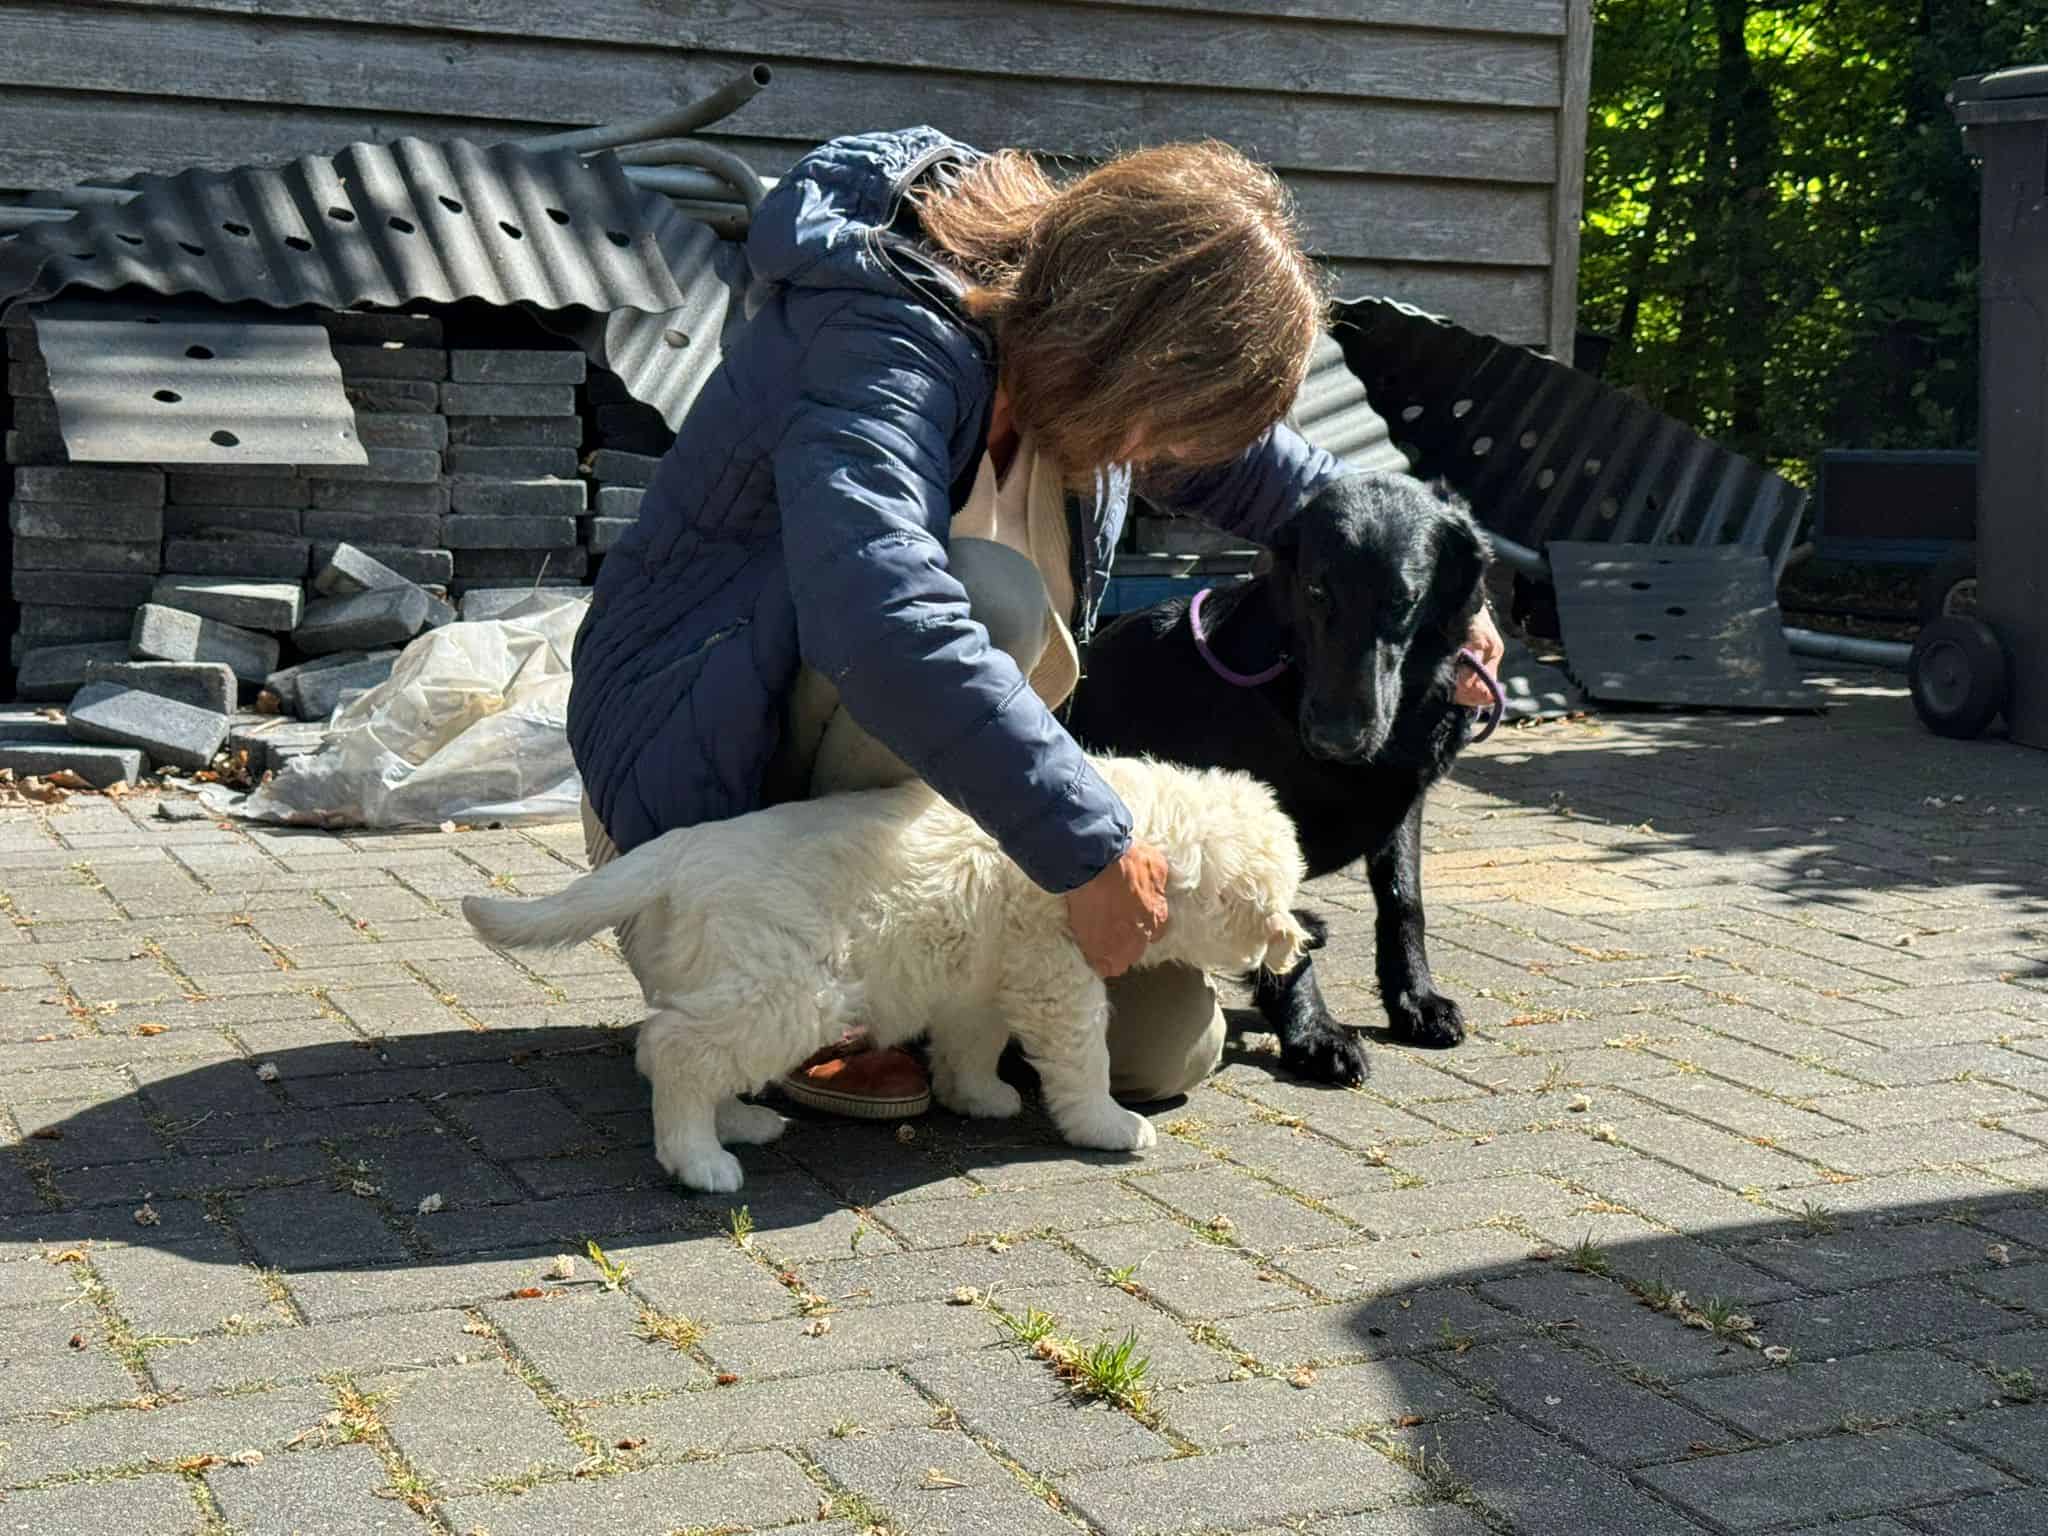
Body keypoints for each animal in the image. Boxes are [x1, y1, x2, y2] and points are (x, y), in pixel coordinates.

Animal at [463, 756, 1309, 1193]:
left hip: (730, 977)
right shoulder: (1058, 973)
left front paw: (978, 1096)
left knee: (684, 1048)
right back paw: (699, 1160)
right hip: (788, 987)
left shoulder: (984, 975)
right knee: (674, 1050)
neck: (1154, 831)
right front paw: (1108, 1125)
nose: (1288, 947)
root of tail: (678, 850)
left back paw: (737, 1122)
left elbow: (971, 1041)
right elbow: (1083, 1057)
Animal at [1065, 471, 1492, 1086]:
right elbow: (1277, 932)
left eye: (1404, 601)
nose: (1338, 737)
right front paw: (1315, 1034)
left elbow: (1404, 902)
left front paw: (1416, 999)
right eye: (1316, 592)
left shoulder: (1403, 806)